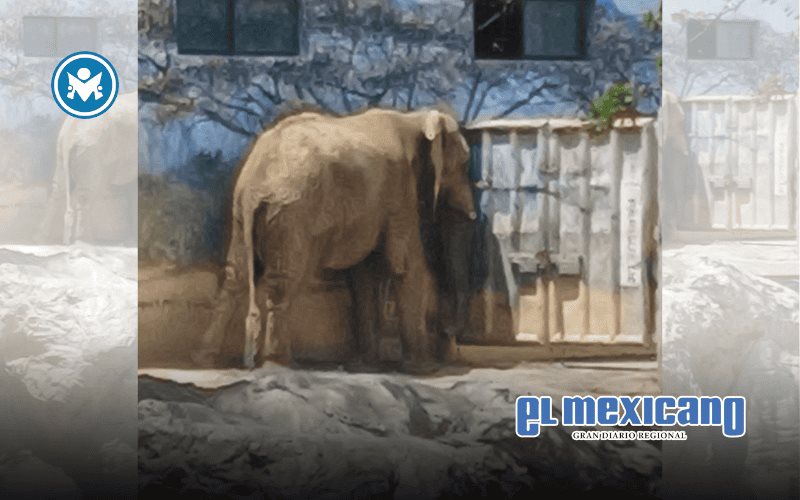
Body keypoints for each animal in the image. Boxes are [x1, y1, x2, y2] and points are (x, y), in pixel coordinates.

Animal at [39, 92, 137, 245]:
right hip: (91, 151)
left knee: (58, 189)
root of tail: (70, 134)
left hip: (63, 152)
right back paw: (85, 241)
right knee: (87, 193)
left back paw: (43, 239)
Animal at [196, 108, 476, 369]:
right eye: (463, 165)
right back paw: (280, 363)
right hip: (291, 212)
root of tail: (256, 180)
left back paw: (207, 359)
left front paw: (364, 364)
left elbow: (363, 276)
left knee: (235, 276)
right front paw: (424, 368)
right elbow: (407, 266)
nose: (448, 335)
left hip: (242, 213)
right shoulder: (401, 190)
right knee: (283, 281)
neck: (414, 117)